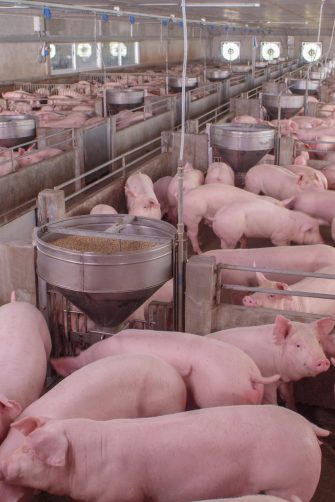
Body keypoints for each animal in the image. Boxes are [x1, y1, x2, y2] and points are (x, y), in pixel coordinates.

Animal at [0, 404, 328, 502]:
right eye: (22, 446)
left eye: (30, 450)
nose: (2, 468)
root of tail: (308, 427)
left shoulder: (123, 493)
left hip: (290, 482)